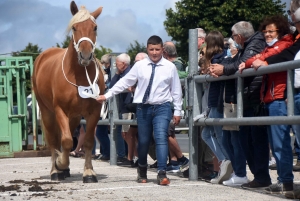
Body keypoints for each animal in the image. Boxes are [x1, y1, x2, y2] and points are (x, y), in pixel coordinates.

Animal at [32, 1, 105, 183]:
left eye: (95, 27)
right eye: (74, 27)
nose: (85, 55)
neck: (79, 75)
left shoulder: (93, 112)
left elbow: (87, 141)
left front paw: (89, 172)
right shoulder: (60, 110)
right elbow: (65, 141)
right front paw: (60, 162)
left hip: (74, 117)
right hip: (47, 112)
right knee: (54, 139)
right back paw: (56, 170)